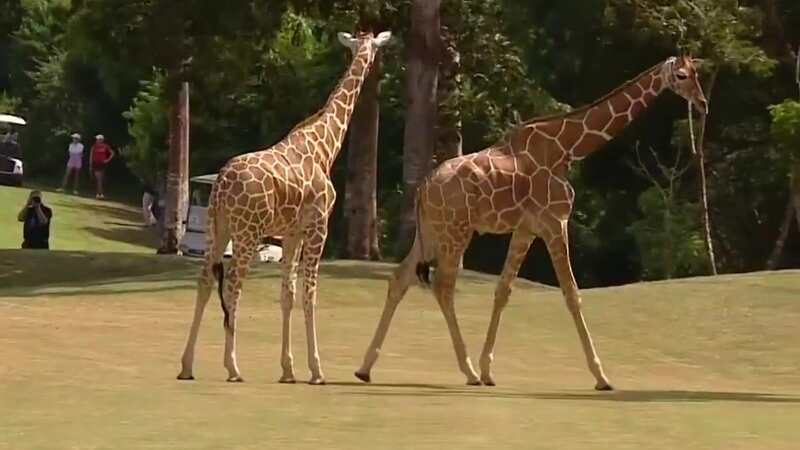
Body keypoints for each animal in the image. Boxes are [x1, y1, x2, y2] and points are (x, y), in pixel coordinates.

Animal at [177, 30, 392, 385]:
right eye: (375, 45)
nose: (376, 64)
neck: (325, 145)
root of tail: (220, 185)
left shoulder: (291, 234)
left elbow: (287, 295)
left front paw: (288, 369)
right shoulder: (318, 227)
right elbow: (310, 293)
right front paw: (316, 370)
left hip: (216, 227)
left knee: (205, 279)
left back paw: (186, 365)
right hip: (247, 232)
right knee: (233, 284)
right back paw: (233, 367)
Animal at [355, 56, 708, 390]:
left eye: (696, 73)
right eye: (681, 76)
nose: (703, 103)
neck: (569, 148)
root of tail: (422, 190)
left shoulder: (526, 229)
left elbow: (503, 290)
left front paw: (489, 369)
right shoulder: (555, 222)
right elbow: (571, 293)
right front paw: (601, 376)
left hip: (430, 232)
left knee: (400, 278)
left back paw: (365, 368)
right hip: (456, 232)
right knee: (442, 286)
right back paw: (466, 371)